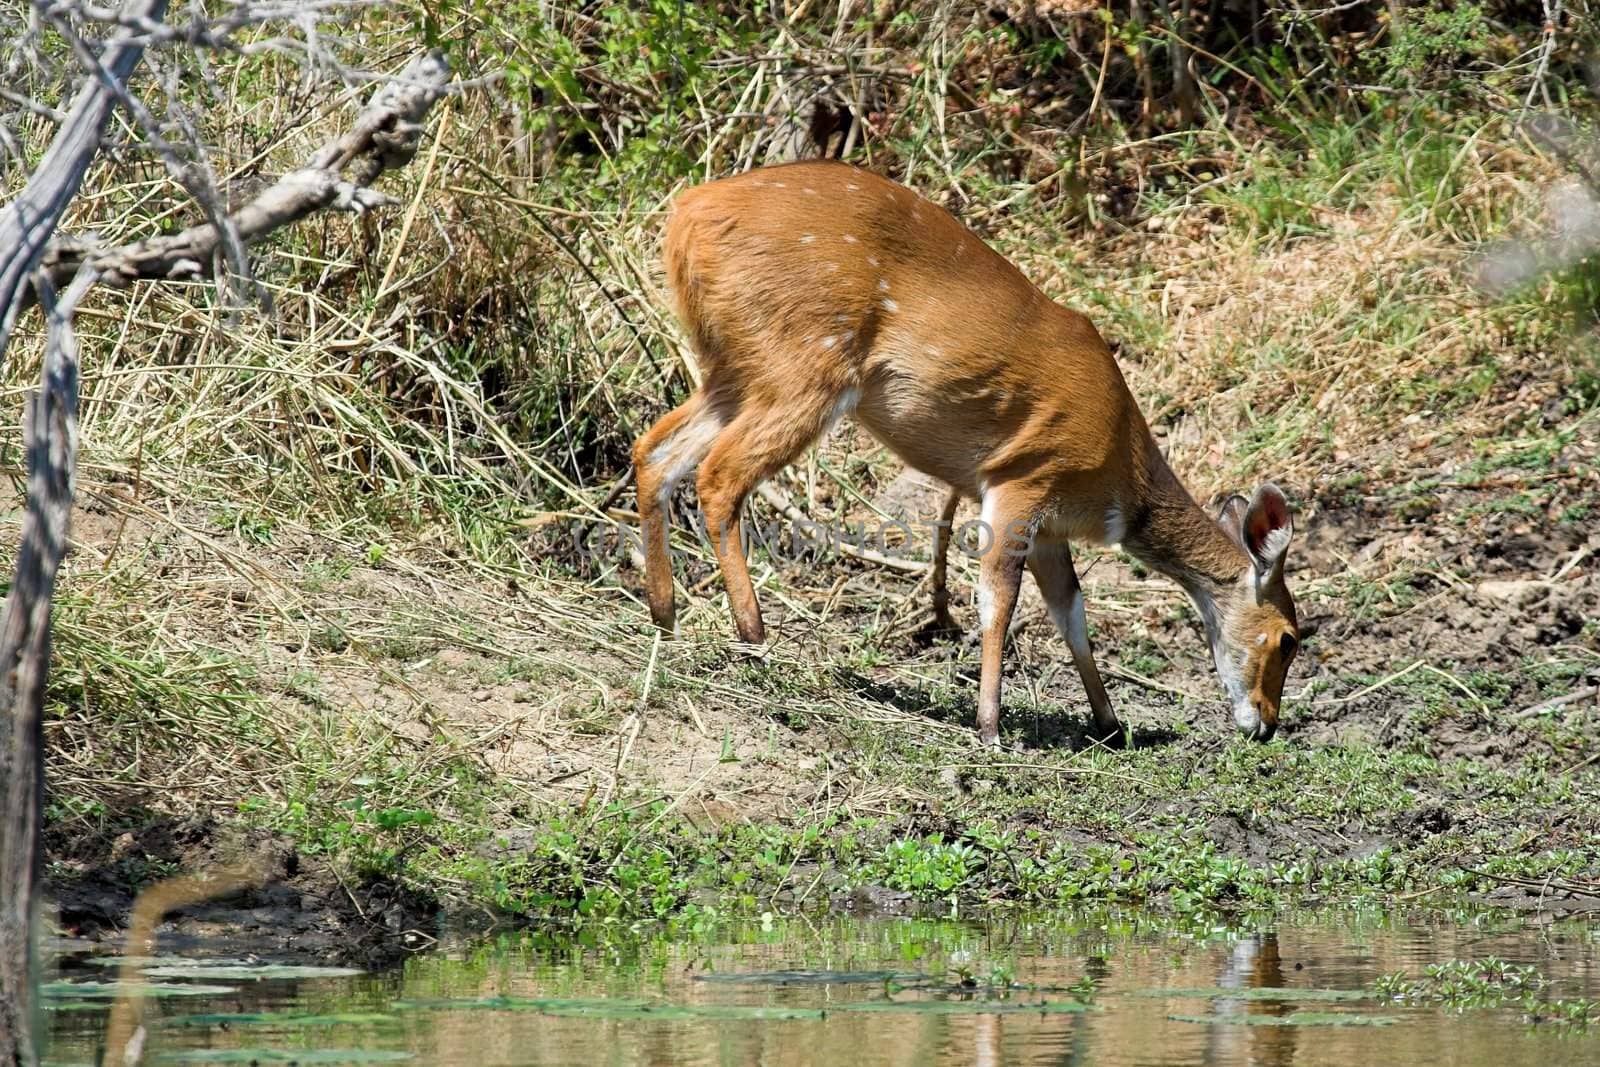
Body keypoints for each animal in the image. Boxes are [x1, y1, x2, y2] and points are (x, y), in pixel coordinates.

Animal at [630, 163, 1292, 748]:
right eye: (1290, 638)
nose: (1265, 724)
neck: (1120, 482)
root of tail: (686, 216)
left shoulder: (1049, 527)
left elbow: (1071, 611)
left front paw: (1109, 724)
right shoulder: (1021, 479)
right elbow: (999, 601)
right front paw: (990, 727)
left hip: (734, 369)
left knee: (654, 450)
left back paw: (664, 615)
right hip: (805, 368)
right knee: (719, 475)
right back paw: (753, 634)